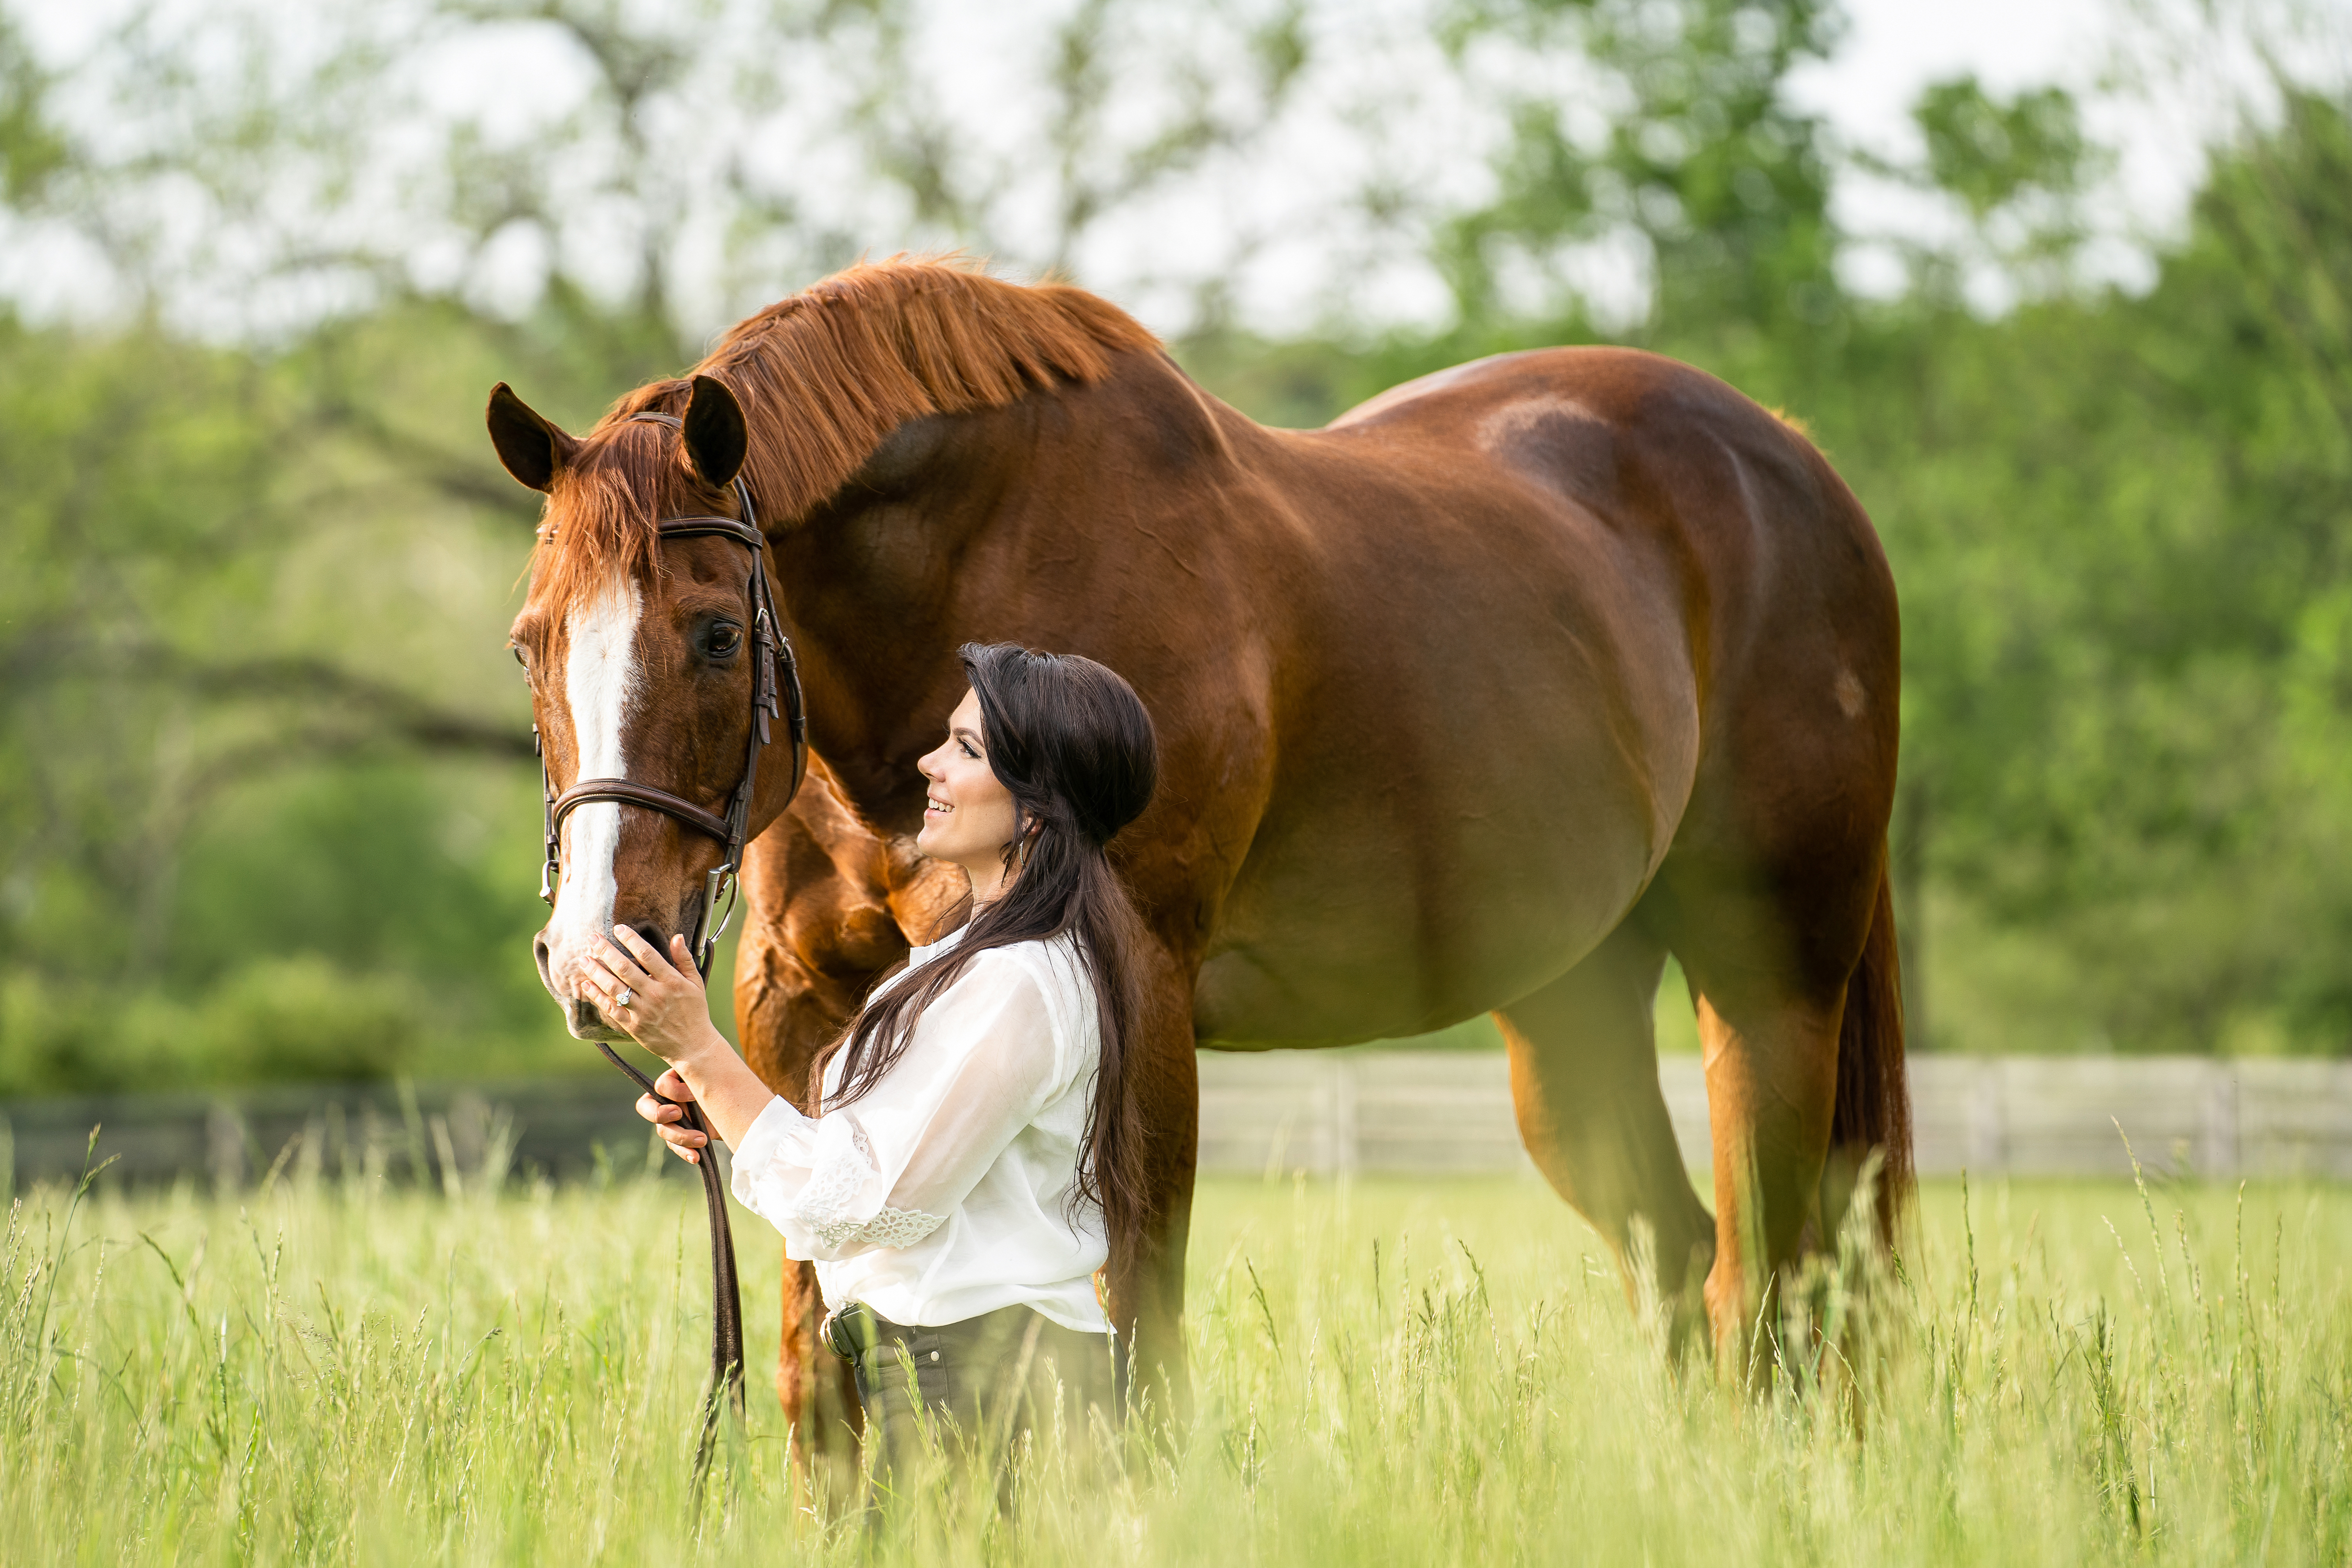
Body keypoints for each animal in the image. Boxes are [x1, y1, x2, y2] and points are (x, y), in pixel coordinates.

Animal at [492, 261, 1910, 1448]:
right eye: (529, 641)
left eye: (720, 635)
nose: (596, 955)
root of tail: (1791, 457)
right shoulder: (804, 1001)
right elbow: (816, 1376)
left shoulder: (1139, 1005)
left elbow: (1137, 1350)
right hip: (1572, 1016)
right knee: (1682, 1265)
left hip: (1771, 987)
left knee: (1767, 1286)